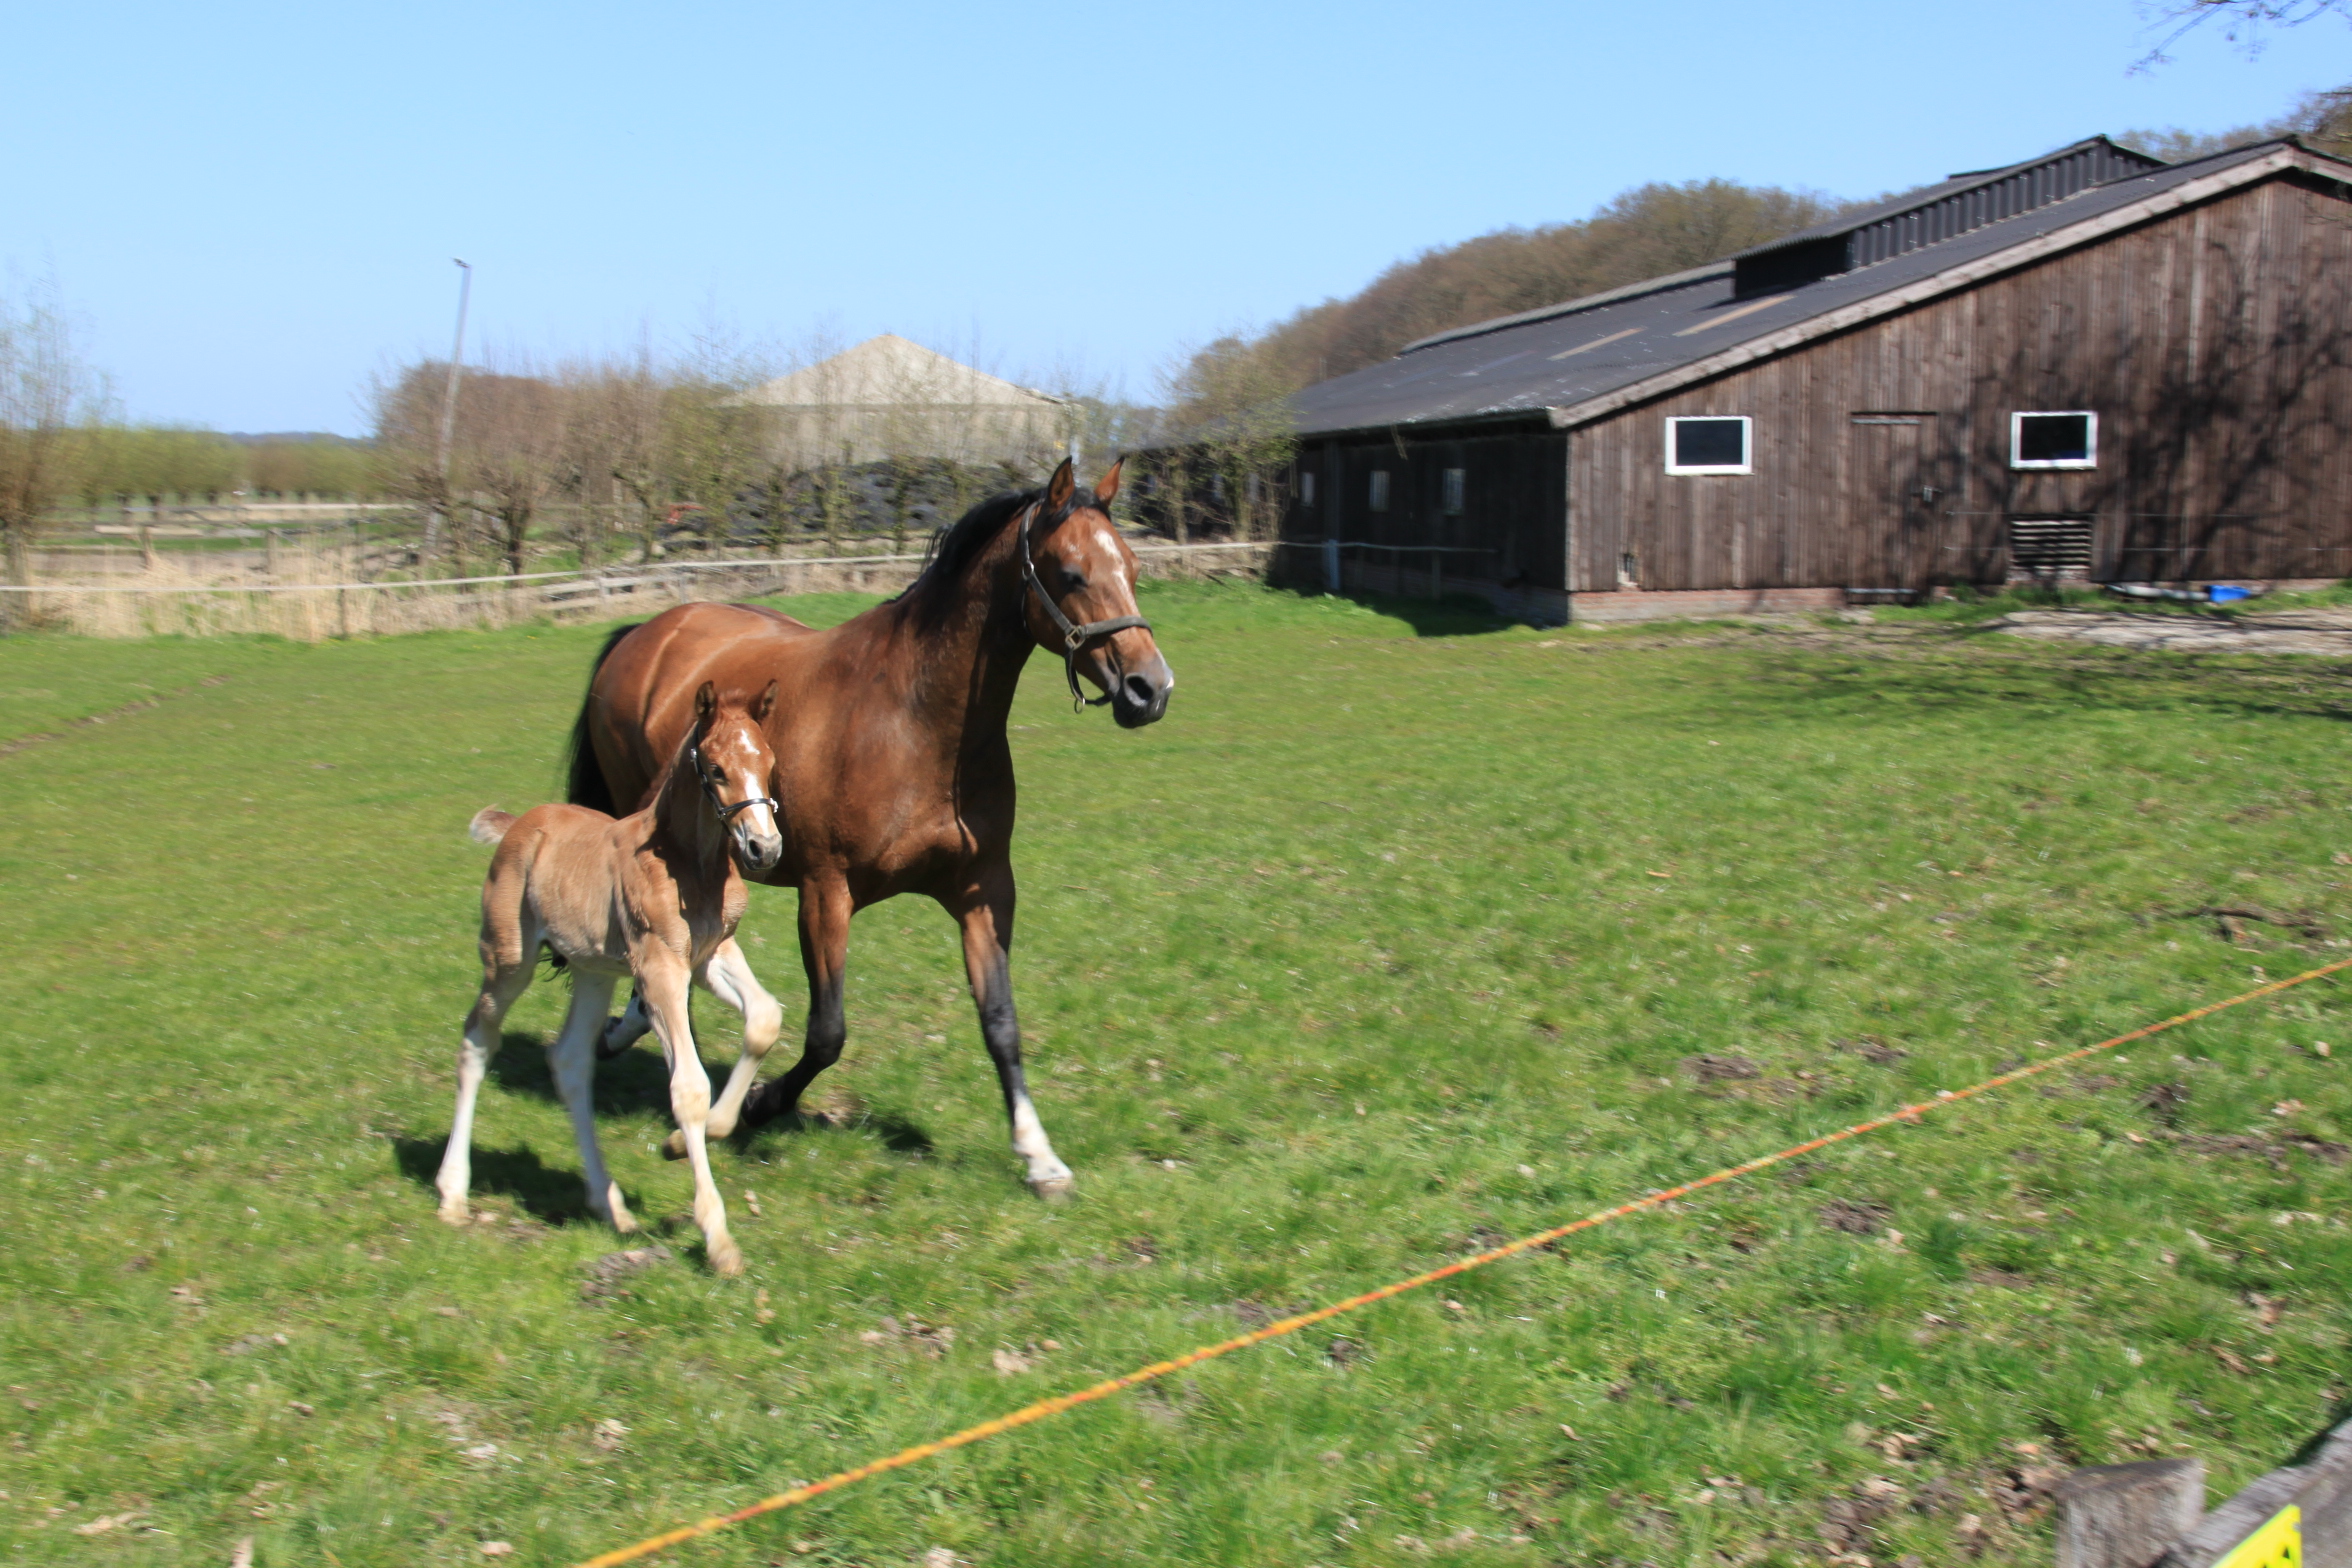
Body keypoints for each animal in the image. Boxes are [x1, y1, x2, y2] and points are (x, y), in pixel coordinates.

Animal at [437, 679, 785, 1275]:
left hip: (593, 970)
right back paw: (453, 1191)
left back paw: (610, 1204)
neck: (690, 860)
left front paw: (684, 1141)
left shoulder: (709, 955)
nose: (764, 848)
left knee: (570, 1060)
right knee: (477, 1041)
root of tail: (518, 825)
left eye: (768, 762)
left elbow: (764, 1019)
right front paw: (718, 1238)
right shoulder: (660, 966)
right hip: (508, 958)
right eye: (716, 769)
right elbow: (688, 1086)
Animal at [563, 457, 1172, 1196]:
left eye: (1133, 567)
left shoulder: (984, 891)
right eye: (1072, 573)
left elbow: (1000, 1021)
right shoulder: (826, 893)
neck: (917, 721)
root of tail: (644, 632)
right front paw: (760, 1104)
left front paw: (1039, 1155)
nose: (1150, 689)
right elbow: (828, 1031)